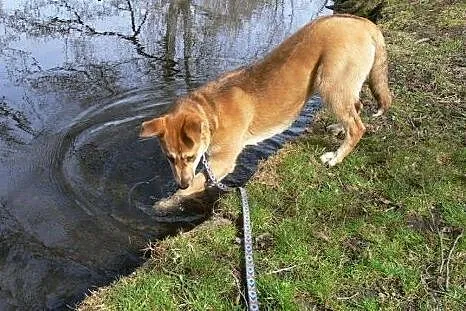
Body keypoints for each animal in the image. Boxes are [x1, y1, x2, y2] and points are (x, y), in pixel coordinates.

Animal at [140, 13, 392, 199]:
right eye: (169, 158)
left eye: (190, 157)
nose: (181, 183)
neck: (210, 112)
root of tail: (365, 23)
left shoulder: (221, 163)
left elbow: (188, 191)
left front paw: (165, 204)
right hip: (342, 89)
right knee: (356, 108)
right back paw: (339, 129)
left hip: (331, 85)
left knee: (357, 127)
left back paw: (336, 157)